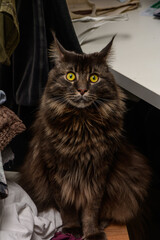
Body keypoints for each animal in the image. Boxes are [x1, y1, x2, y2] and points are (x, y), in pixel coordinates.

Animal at [20, 34, 151, 240]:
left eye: (94, 78)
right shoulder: (57, 172)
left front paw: (91, 232)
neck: (81, 127)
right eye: (70, 76)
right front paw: (73, 228)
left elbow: (91, 209)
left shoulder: (99, 172)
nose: (82, 90)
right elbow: (67, 207)